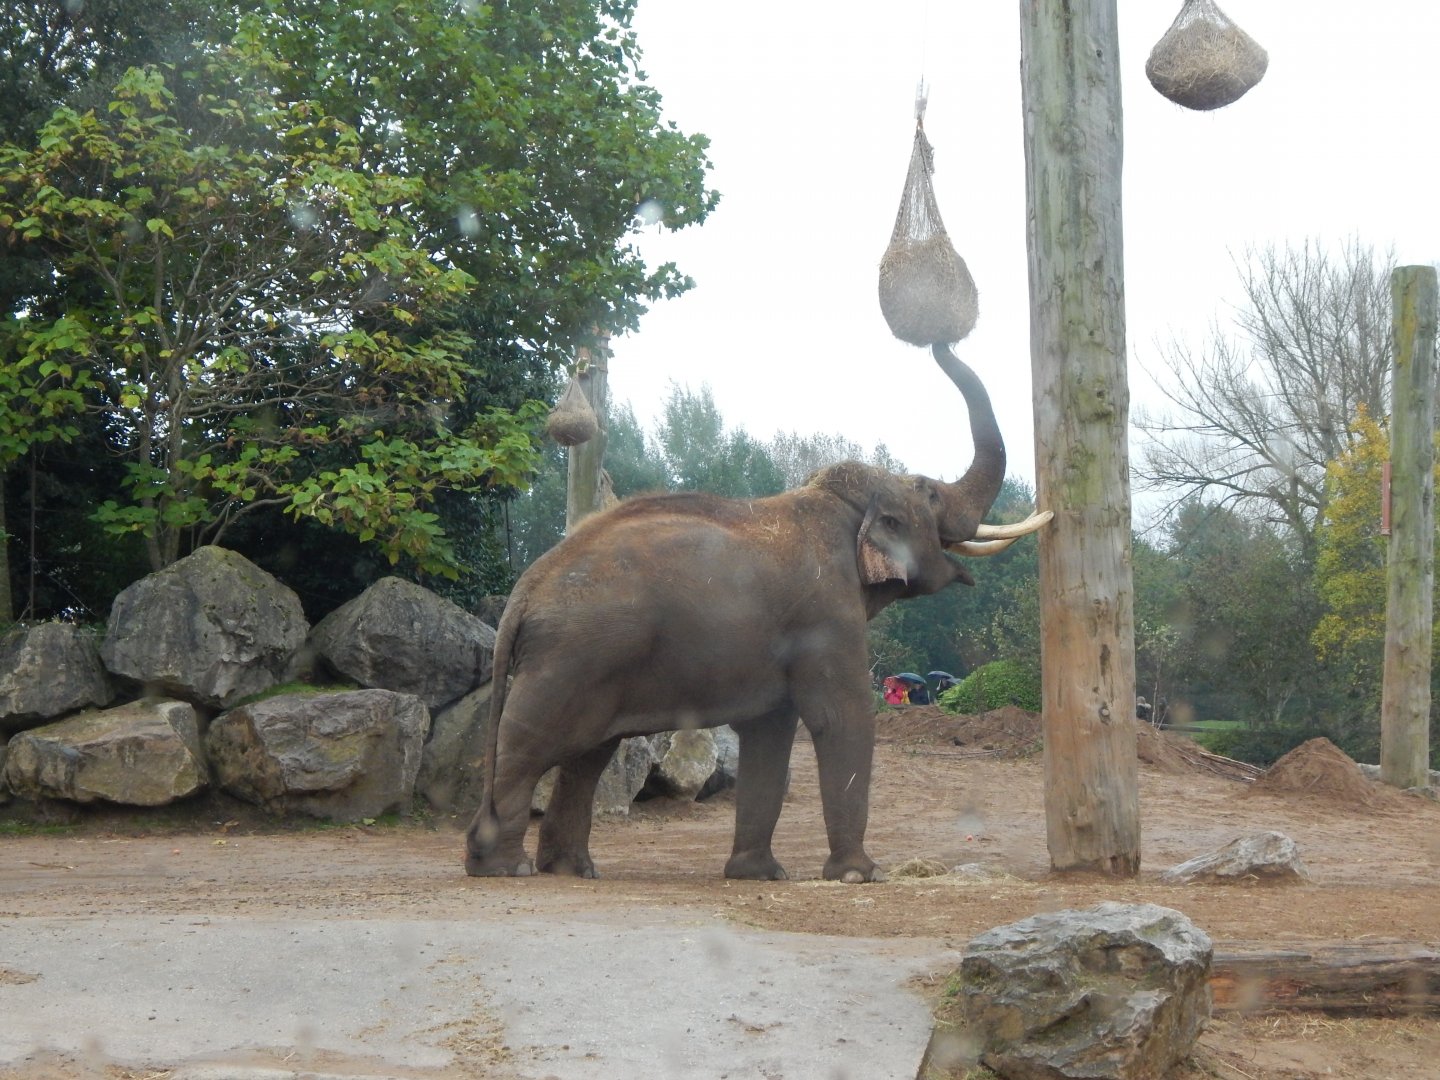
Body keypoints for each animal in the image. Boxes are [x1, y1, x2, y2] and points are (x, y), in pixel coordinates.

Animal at [465, 343, 1049, 883]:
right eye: (929, 493)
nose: (937, 340)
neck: (837, 504)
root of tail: (524, 590)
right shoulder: (826, 614)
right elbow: (840, 717)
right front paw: (860, 875)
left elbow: (771, 732)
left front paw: (759, 874)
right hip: (570, 656)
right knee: (531, 743)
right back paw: (502, 867)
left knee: (587, 756)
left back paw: (571, 870)